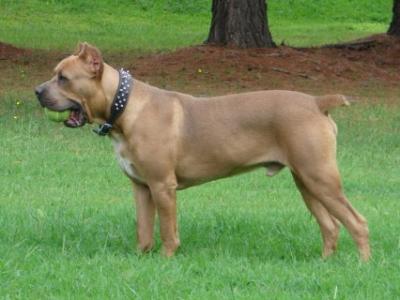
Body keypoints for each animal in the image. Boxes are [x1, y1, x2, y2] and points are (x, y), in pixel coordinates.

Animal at [36, 42, 370, 260]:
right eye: (55, 74)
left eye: (63, 78)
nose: (37, 91)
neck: (125, 106)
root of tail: (317, 102)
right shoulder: (142, 188)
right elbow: (144, 230)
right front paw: (141, 258)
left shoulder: (162, 186)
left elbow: (168, 230)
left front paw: (166, 260)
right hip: (307, 183)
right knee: (331, 226)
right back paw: (324, 263)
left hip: (321, 179)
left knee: (357, 223)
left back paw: (362, 265)